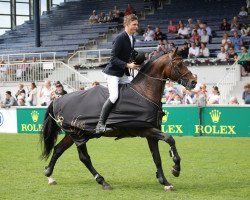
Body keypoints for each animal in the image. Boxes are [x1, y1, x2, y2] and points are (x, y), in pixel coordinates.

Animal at [40, 49, 197, 191]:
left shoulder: (151, 133)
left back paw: (49, 174)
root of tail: (57, 100)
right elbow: (170, 139)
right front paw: (175, 168)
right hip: (77, 134)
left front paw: (165, 182)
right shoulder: (146, 129)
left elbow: (157, 158)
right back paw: (102, 181)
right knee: (84, 157)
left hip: (73, 134)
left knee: (58, 149)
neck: (143, 93)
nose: (193, 82)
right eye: (178, 64)